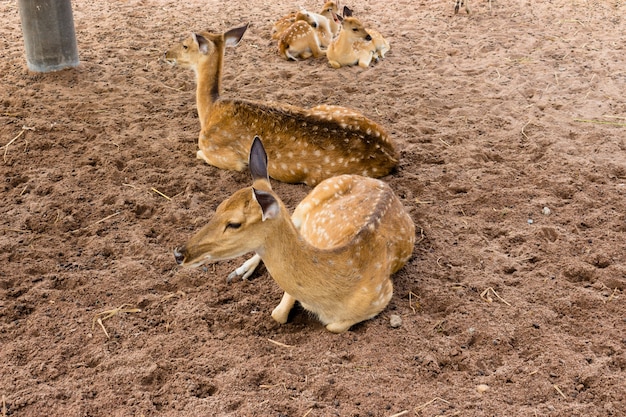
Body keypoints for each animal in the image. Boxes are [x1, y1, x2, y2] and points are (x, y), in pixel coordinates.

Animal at [162, 23, 394, 185]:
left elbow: (200, 153)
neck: (209, 111)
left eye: (185, 45)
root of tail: (392, 156)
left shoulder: (223, 154)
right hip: (327, 106)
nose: (166, 53)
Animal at [173, 138, 414, 334]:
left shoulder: (383, 295)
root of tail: (382, 183)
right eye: (218, 206)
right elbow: (278, 313)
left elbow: (333, 326)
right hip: (303, 204)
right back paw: (240, 271)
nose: (179, 253)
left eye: (233, 224)